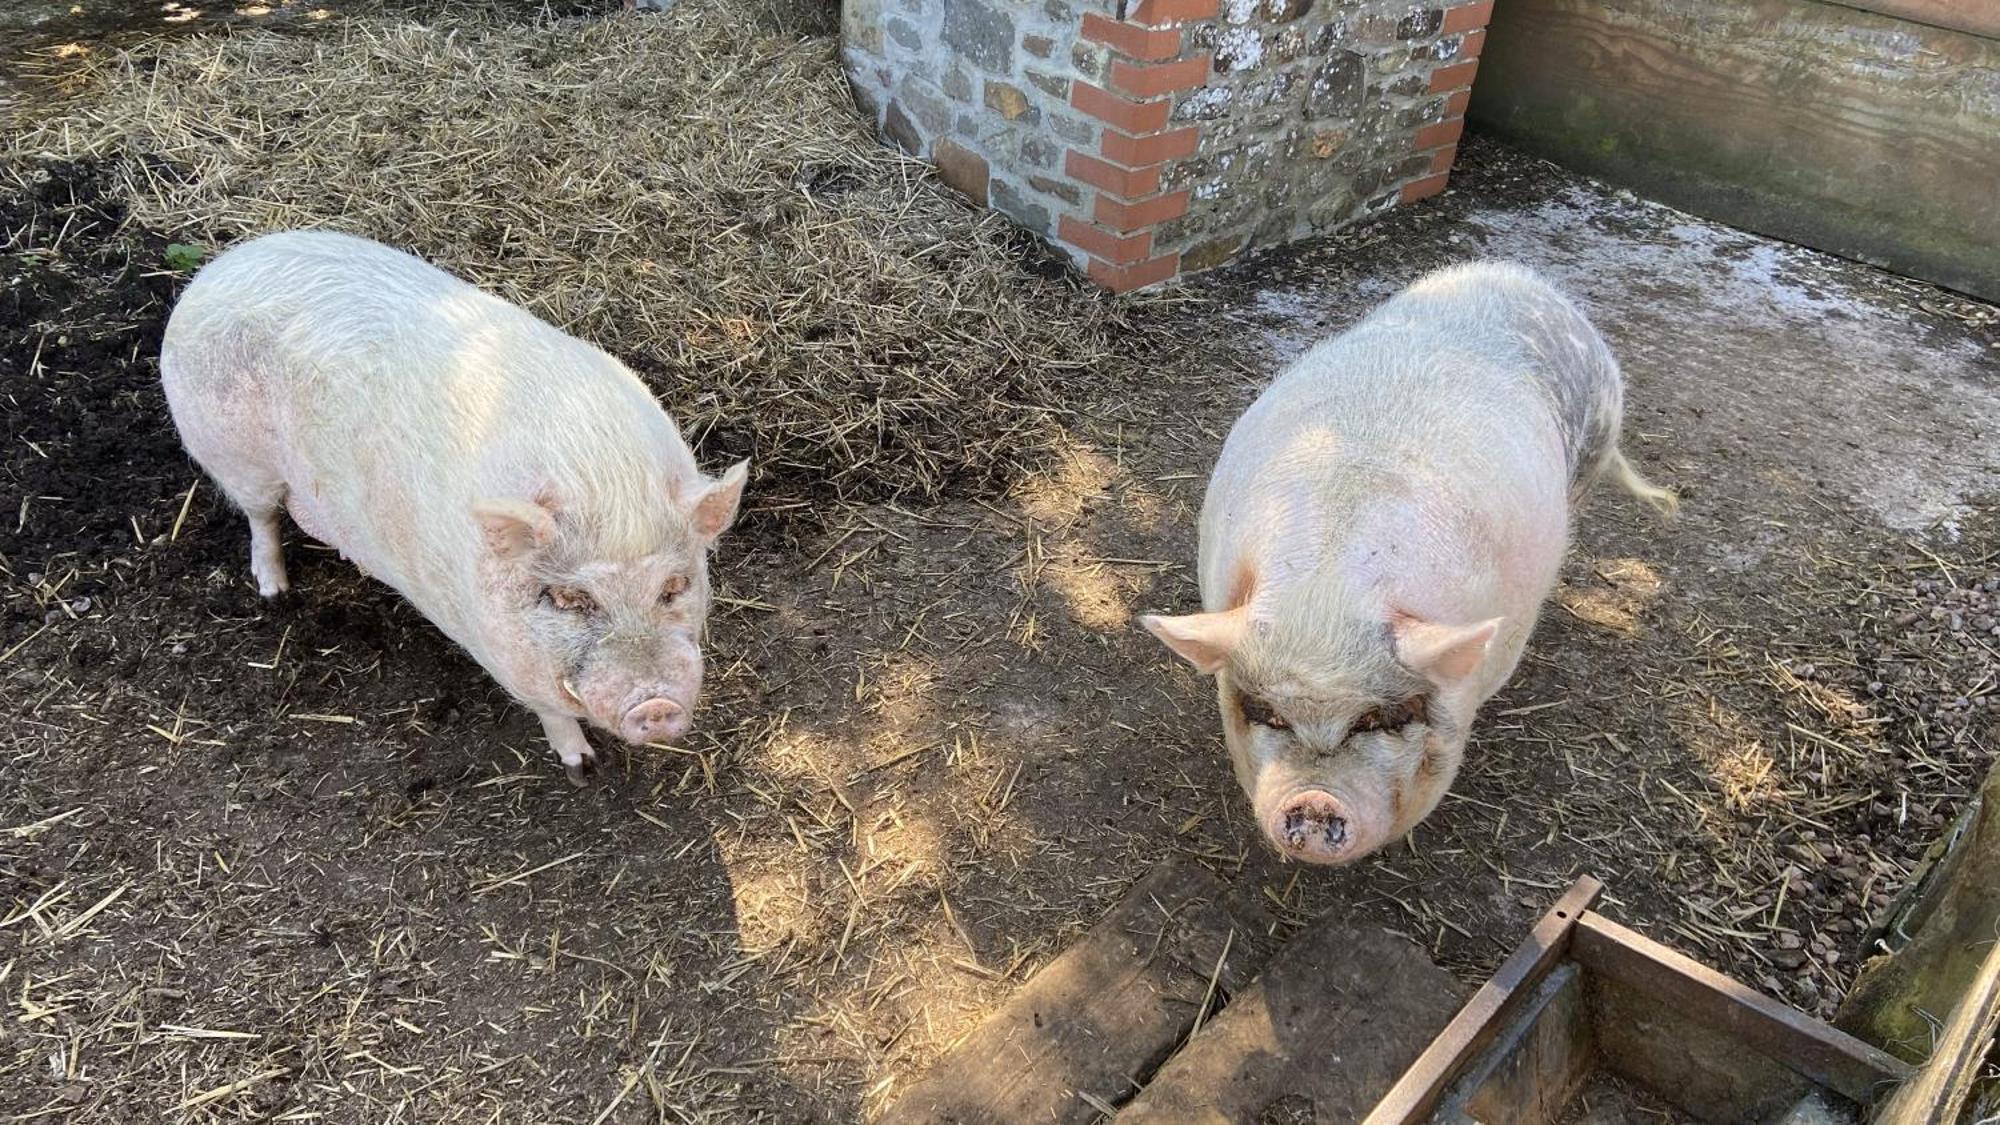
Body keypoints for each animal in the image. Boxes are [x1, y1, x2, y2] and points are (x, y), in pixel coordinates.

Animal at [158, 230, 752, 780]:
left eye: (674, 586)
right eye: (569, 599)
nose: (656, 706)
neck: (604, 479)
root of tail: (216, 272)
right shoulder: (498, 650)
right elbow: (549, 712)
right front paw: (580, 766)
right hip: (235, 457)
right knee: (260, 519)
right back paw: (274, 592)